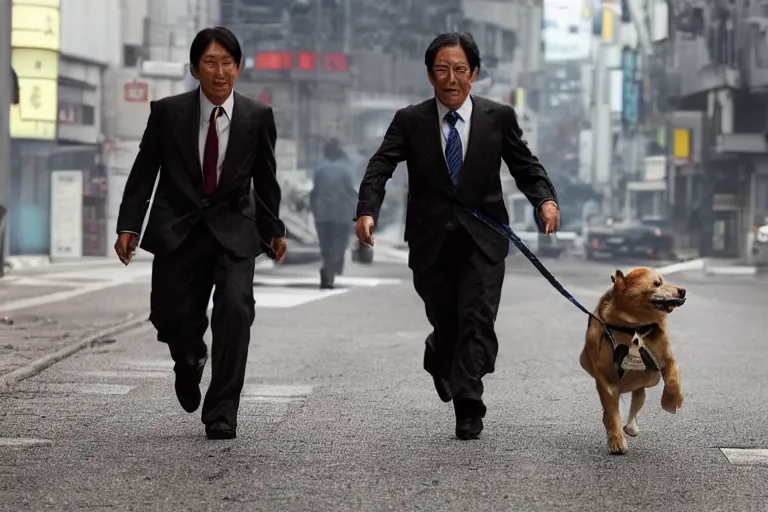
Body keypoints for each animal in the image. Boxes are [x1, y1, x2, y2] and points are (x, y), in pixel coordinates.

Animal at [580, 266, 688, 454]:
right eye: (657, 283)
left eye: (663, 280)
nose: (682, 291)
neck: (633, 326)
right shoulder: (605, 377)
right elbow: (612, 412)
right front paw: (616, 440)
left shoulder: (666, 357)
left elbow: (673, 378)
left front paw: (672, 401)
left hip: (640, 388)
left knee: (636, 404)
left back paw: (631, 427)